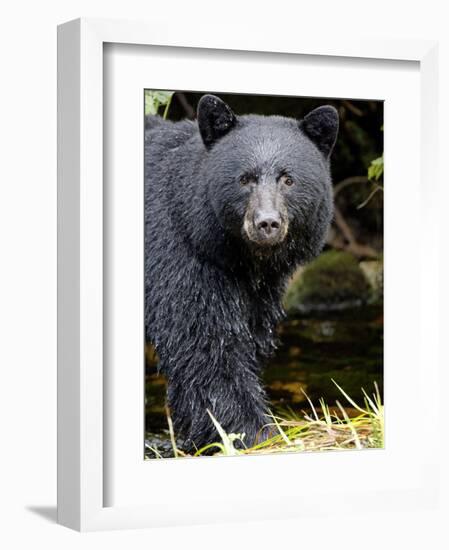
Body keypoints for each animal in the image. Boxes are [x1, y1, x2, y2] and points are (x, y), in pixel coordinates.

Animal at [144, 95, 336, 452]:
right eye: (244, 179)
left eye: (288, 179)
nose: (267, 223)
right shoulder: (181, 259)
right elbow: (204, 346)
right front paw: (256, 433)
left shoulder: (255, 292)